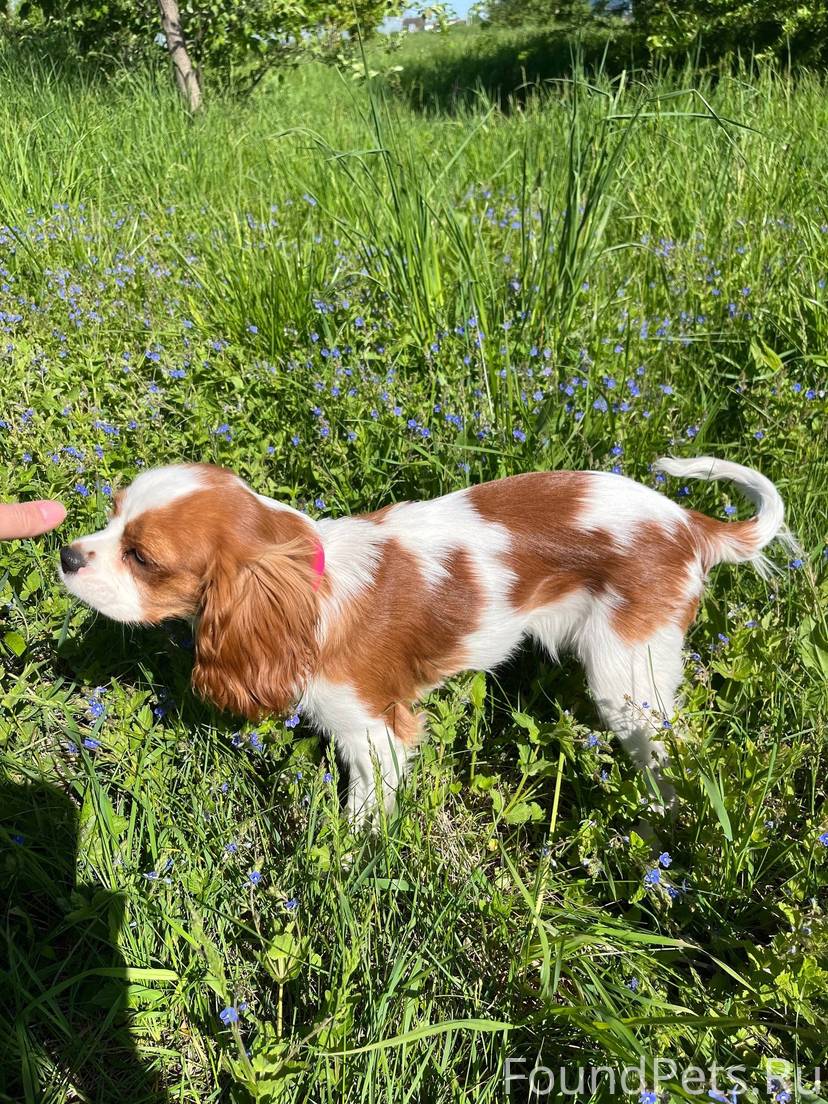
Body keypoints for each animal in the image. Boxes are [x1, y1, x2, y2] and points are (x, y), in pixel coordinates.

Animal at [56, 454, 790, 821]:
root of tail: (688, 523)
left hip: (627, 678)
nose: (66, 554)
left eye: (142, 557)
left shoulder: (374, 734)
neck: (308, 585)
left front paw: (338, 872)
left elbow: (361, 816)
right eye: (111, 515)